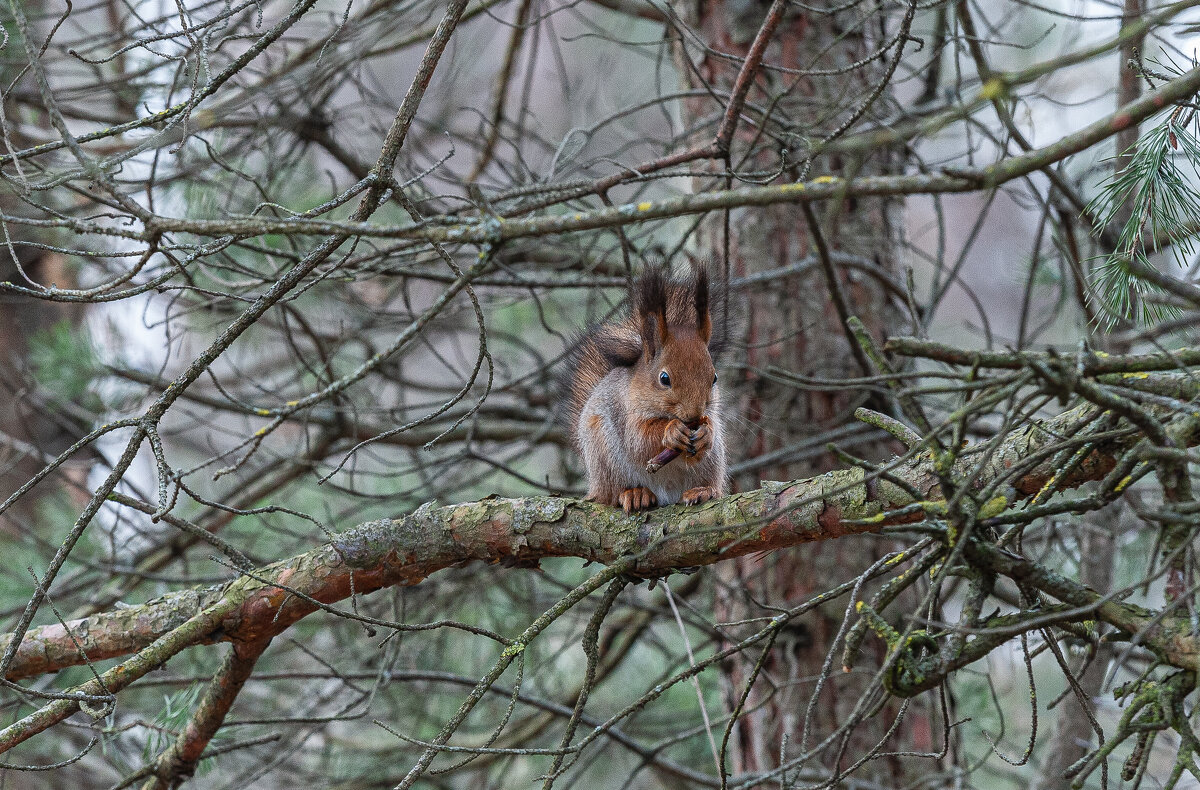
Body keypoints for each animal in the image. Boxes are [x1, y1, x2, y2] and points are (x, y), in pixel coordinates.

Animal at [564, 264, 724, 511]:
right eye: (664, 378)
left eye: (714, 377)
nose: (694, 415)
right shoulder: (626, 411)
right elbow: (639, 440)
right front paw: (671, 431)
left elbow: (707, 433)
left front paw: (706, 433)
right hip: (604, 455)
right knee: (613, 493)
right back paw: (635, 493)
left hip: (714, 461)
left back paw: (704, 490)